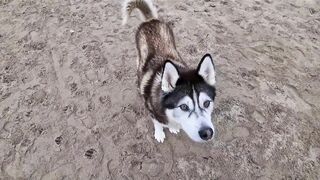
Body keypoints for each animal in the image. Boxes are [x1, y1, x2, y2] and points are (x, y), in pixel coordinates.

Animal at [122, 0, 218, 143]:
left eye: (206, 103)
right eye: (183, 107)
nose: (207, 133)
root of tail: (151, 20)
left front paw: (172, 127)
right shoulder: (152, 112)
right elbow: (157, 123)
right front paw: (159, 133)